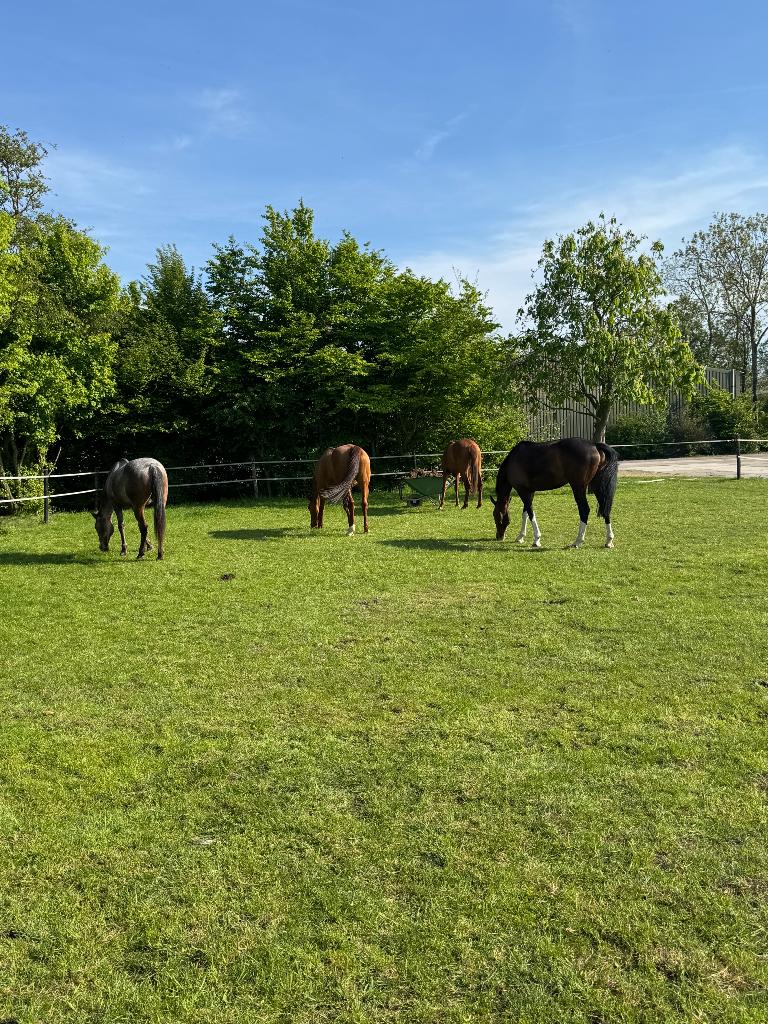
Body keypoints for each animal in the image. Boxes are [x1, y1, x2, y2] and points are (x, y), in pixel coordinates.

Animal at [491, 438, 619, 548]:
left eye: (495, 515)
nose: (499, 536)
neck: (514, 459)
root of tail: (594, 445)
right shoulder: (530, 492)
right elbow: (525, 513)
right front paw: (520, 537)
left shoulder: (522, 491)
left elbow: (530, 513)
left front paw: (536, 539)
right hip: (597, 485)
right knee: (605, 508)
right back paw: (609, 541)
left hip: (578, 487)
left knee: (584, 510)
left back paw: (577, 541)